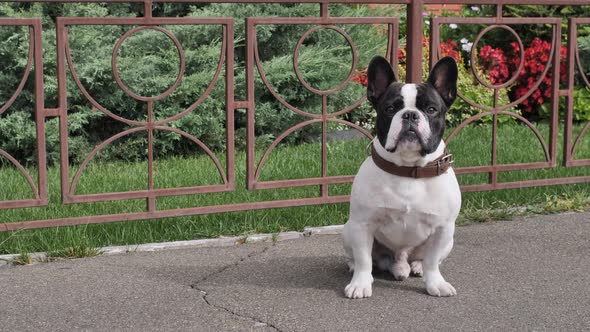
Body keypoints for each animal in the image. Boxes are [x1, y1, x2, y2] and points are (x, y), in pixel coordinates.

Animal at [342, 55, 462, 298]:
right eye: (389, 108)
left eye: (431, 109)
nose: (410, 114)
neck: (409, 170)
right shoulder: (362, 225)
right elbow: (363, 259)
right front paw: (360, 283)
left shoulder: (443, 228)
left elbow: (433, 261)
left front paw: (435, 283)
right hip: (347, 230)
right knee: (364, 258)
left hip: (450, 240)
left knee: (425, 259)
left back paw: (416, 266)